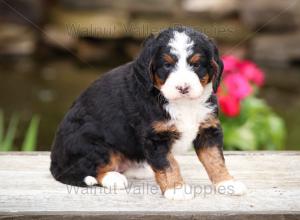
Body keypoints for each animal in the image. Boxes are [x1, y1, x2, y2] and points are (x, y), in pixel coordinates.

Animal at [49, 25, 246, 199]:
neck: (182, 104)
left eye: (196, 65)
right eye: (167, 65)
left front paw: (227, 183)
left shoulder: (208, 129)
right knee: (89, 168)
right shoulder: (155, 138)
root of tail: (55, 162)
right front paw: (176, 190)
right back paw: (113, 178)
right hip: (93, 143)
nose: (183, 88)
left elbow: (215, 159)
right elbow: (168, 164)